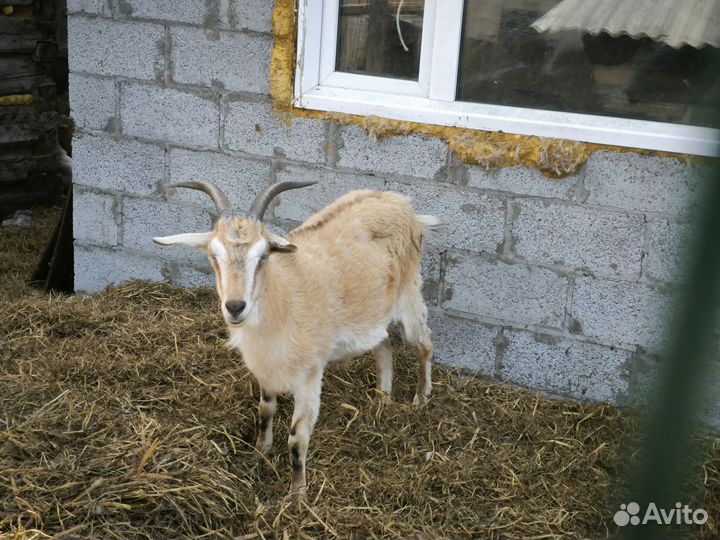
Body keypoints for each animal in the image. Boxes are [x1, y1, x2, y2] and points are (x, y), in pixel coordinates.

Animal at [153, 181, 441, 494]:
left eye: (263, 255)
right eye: (213, 255)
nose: (235, 306)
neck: (281, 300)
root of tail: (402, 203)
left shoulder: (310, 375)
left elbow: (297, 437)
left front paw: (297, 493)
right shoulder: (266, 370)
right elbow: (265, 410)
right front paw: (260, 452)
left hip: (409, 296)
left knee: (425, 342)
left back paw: (421, 399)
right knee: (384, 344)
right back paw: (382, 399)